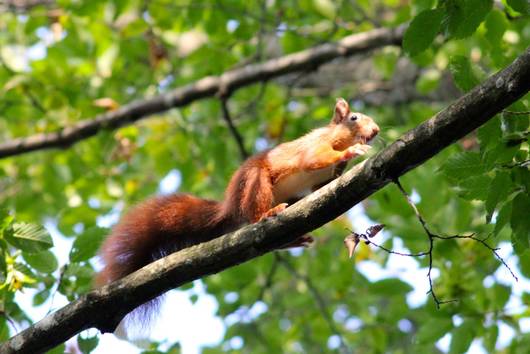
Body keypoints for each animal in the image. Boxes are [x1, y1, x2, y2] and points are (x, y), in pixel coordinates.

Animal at [94, 97, 376, 332]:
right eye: (354, 118)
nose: (375, 131)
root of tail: (230, 208)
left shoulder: (321, 182)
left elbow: (322, 185)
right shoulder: (313, 146)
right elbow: (313, 159)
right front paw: (351, 152)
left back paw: (295, 239)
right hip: (255, 182)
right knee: (254, 217)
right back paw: (268, 214)